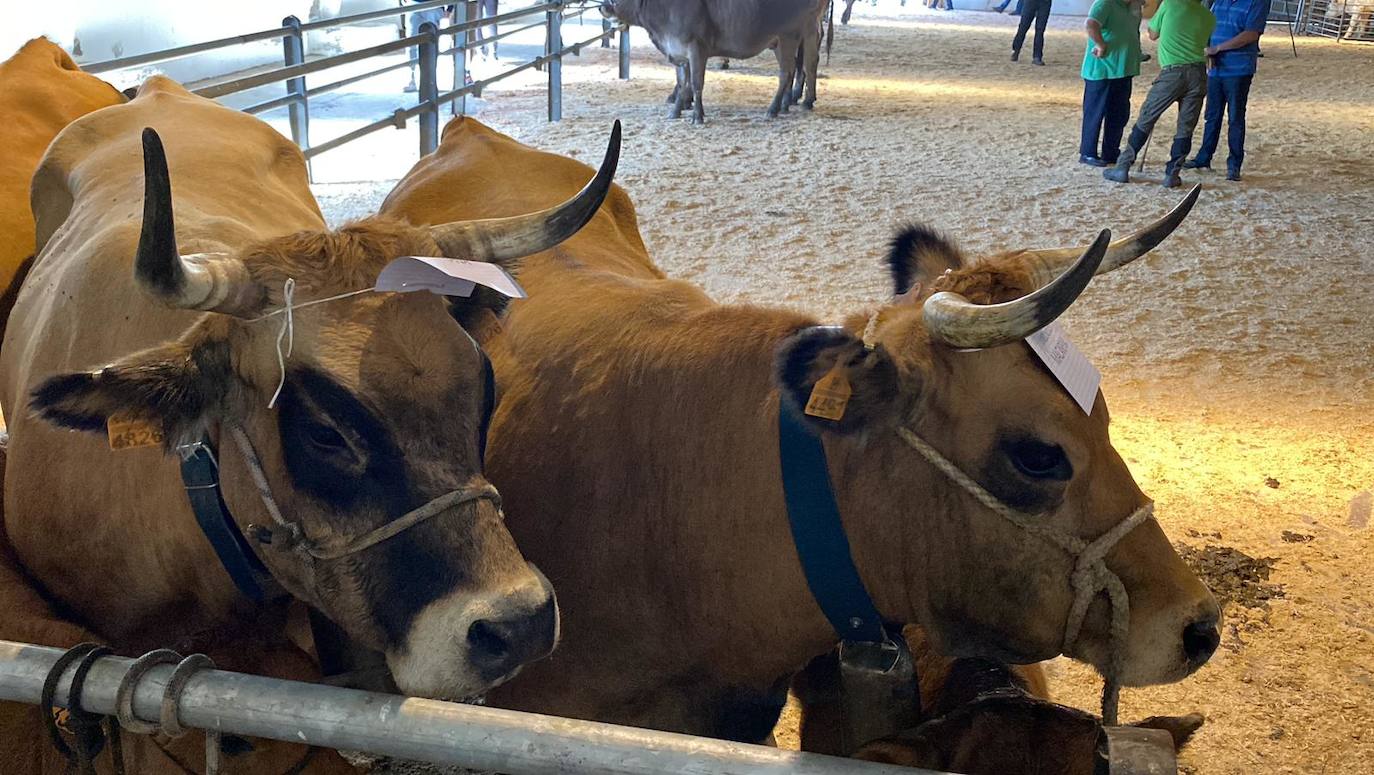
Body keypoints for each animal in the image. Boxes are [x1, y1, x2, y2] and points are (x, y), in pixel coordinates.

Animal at [601, 0, 824, 121]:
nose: (603, 7)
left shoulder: (696, 48)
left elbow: (696, 83)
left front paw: (697, 116)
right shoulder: (680, 53)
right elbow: (683, 83)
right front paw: (676, 111)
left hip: (792, 35)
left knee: (793, 69)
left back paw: (776, 108)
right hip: (784, 40)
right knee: (802, 66)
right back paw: (794, 103)